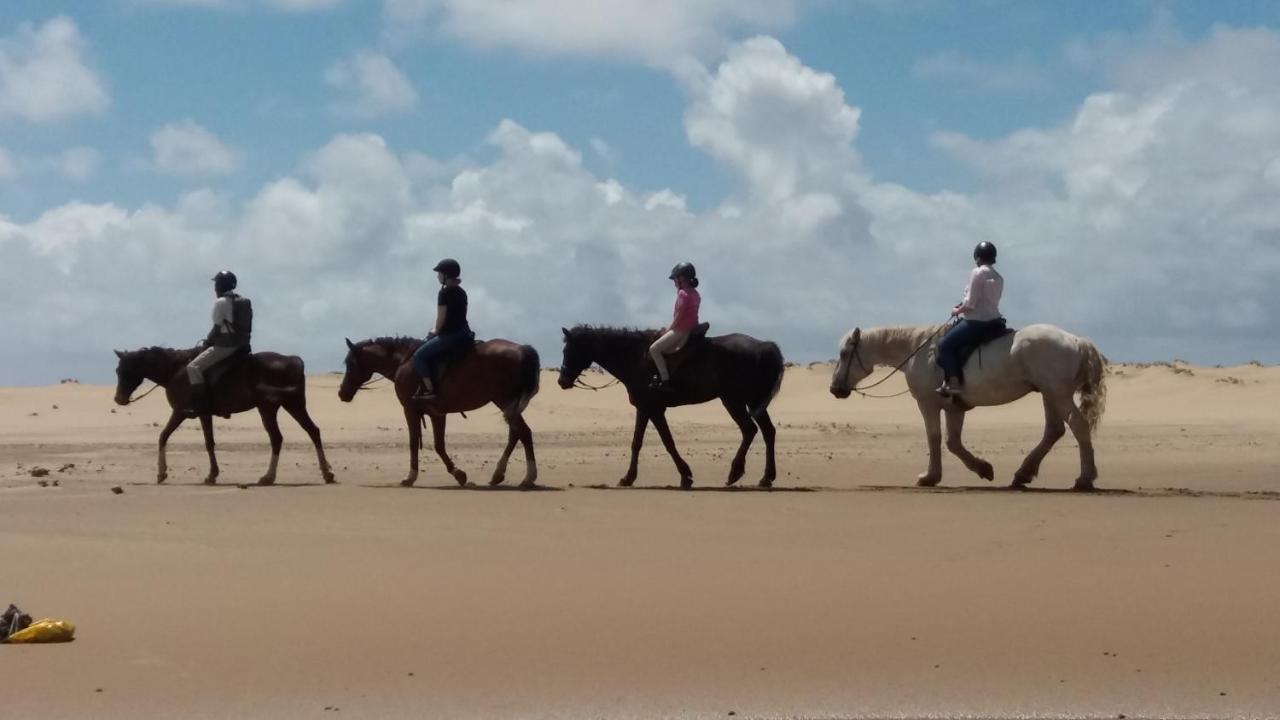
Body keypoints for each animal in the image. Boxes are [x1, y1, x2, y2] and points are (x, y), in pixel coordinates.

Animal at [112, 345, 335, 481]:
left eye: (125, 371)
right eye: (117, 371)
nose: (118, 399)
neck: (176, 371)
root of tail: (294, 360)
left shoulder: (180, 412)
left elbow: (163, 436)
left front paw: (161, 472)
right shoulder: (204, 414)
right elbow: (209, 443)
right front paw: (212, 474)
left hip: (268, 408)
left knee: (277, 438)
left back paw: (268, 477)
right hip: (293, 405)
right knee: (312, 431)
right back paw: (326, 472)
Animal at [335, 338, 540, 484]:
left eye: (350, 364)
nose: (342, 393)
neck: (404, 362)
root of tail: (523, 349)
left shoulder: (410, 410)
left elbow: (415, 443)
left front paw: (411, 476)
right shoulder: (436, 413)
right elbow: (439, 445)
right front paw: (458, 474)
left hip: (503, 401)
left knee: (522, 432)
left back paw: (528, 477)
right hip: (508, 404)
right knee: (517, 434)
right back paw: (499, 474)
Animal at [834, 324, 1105, 486]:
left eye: (844, 354)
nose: (834, 388)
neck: (918, 352)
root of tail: (1077, 340)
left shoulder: (927, 404)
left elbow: (934, 437)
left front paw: (930, 477)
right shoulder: (954, 408)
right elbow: (953, 442)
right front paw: (983, 469)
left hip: (1058, 394)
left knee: (1078, 426)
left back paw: (1084, 478)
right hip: (1049, 394)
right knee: (1054, 430)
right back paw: (1023, 474)